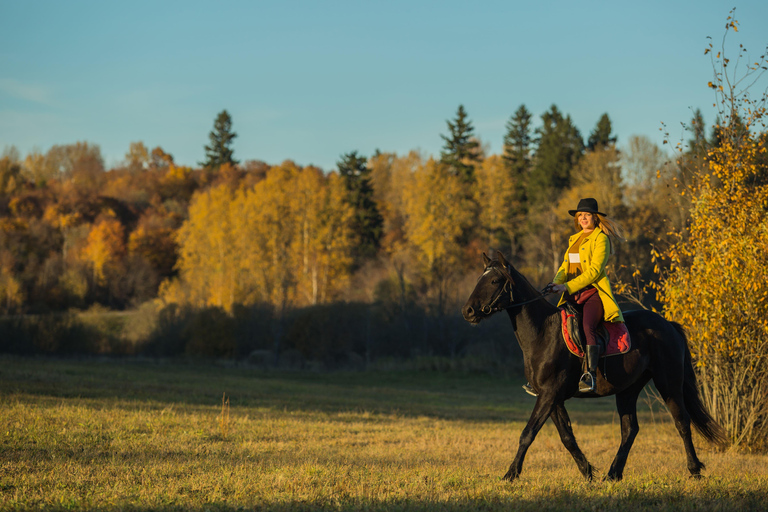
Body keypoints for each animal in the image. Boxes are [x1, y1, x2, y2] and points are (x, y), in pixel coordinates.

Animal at [461, 251, 727, 482]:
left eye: (494, 280)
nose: (468, 311)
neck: (543, 333)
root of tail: (668, 324)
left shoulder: (549, 394)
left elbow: (528, 433)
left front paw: (510, 474)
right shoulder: (552, 397)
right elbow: (567, 437)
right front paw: (588, 472)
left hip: (668, 383)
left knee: (681, 421)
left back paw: (694, 470)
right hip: (628, 390)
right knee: (630, 429)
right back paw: (613, 474)